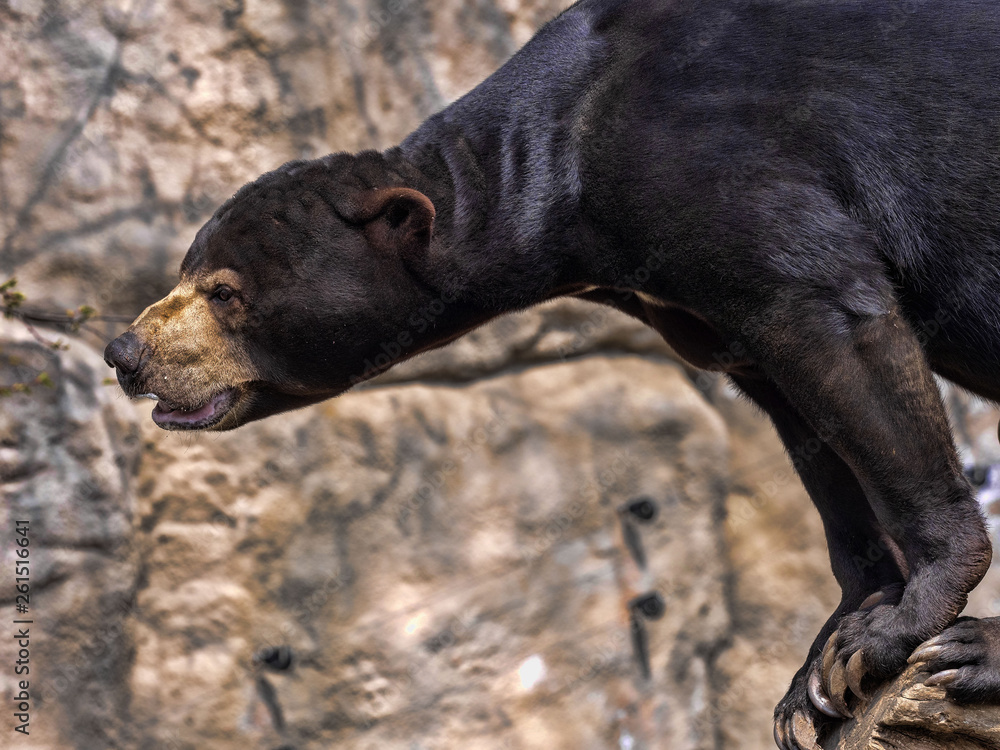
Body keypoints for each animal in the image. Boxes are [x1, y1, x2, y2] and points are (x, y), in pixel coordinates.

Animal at [104, 1, 1000, 747]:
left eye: (225, 293)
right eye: (186, 272)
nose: (125, 353)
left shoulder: (729, 165)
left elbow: (833, 317)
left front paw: (887, 633)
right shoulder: (692, 302)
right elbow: (805, 427)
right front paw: (813, 676)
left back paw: (972, 655)